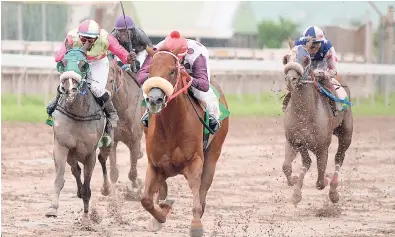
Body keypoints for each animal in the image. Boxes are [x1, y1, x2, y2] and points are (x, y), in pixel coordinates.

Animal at [45, 41, 106, 218]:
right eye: (63, 63)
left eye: (83, 64)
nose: (69, 89)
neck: (78, 113)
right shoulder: (61, 145)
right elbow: (60, 178)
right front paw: (52, 208)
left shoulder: (90, 152)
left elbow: (87, 182)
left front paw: (86, 214)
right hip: (71, 154)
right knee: (75, 169)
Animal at [97, 58, 144, 199]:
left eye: (111, 80)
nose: (103, 98)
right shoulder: (113, 140)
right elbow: (113, 171)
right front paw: (109, 191)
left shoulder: (135, 140)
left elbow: (133, 172)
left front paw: (136, 187)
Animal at [139, 46, 230, 237]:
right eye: (149, 71)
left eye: (172, 71)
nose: (155, 100)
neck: (172, 126)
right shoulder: (155, 165)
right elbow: (146, 200)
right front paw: (160, 215)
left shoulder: (194, 161)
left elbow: (196, 193)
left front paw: (196, 225)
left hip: (213, 155)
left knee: (203, 189)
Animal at [284, 40, 354, 206]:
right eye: (286, 58)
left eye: (306, 59)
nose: (290, 80)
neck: (304, 114)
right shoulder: (295, 140)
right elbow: (292, 166)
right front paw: (295, 188)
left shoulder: (322, 147)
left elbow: (320, 180)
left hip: (346, 134)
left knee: (339, 158)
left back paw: (333, 190)